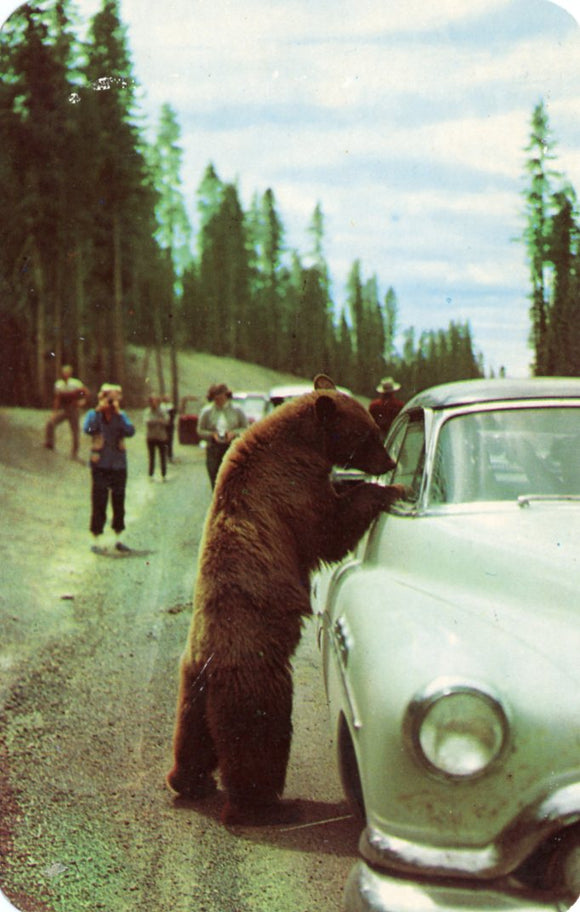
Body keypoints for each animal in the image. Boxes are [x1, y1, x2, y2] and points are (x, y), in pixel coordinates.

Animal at [166, 375, 404, 825]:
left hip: (191, 687)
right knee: (259, 741)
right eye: (369, 433)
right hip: (257, 682)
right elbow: (327, 528)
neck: (300, 442)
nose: (389, 462)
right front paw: (387, 491)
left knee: (192, 735)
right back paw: (264, 805)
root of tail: (207, 663)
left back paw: (187, 782)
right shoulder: (290, 489)